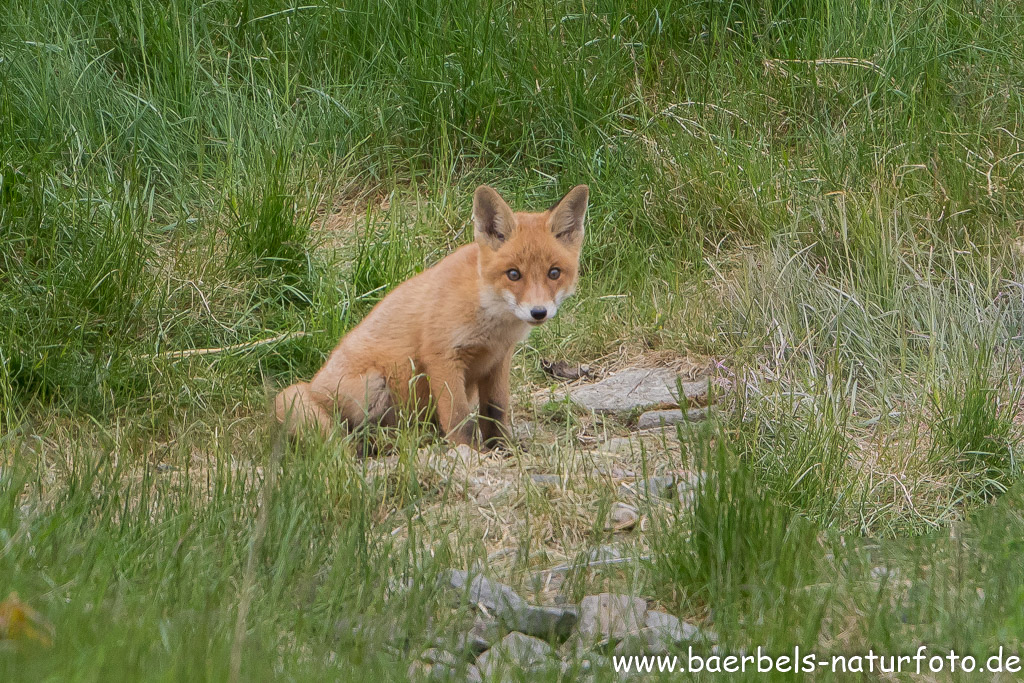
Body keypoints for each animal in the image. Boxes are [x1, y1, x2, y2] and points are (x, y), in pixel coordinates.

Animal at [276, 184, 589, 448]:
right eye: (513, 274)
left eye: (554, 273)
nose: (539, 312)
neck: (492, 323)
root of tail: (312, 387)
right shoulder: (442, 356)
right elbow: (458, 417)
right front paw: (467, 453)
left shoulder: (498, 360)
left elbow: (495, 411)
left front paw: (502, 448)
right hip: (371, 386)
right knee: (352, 434)